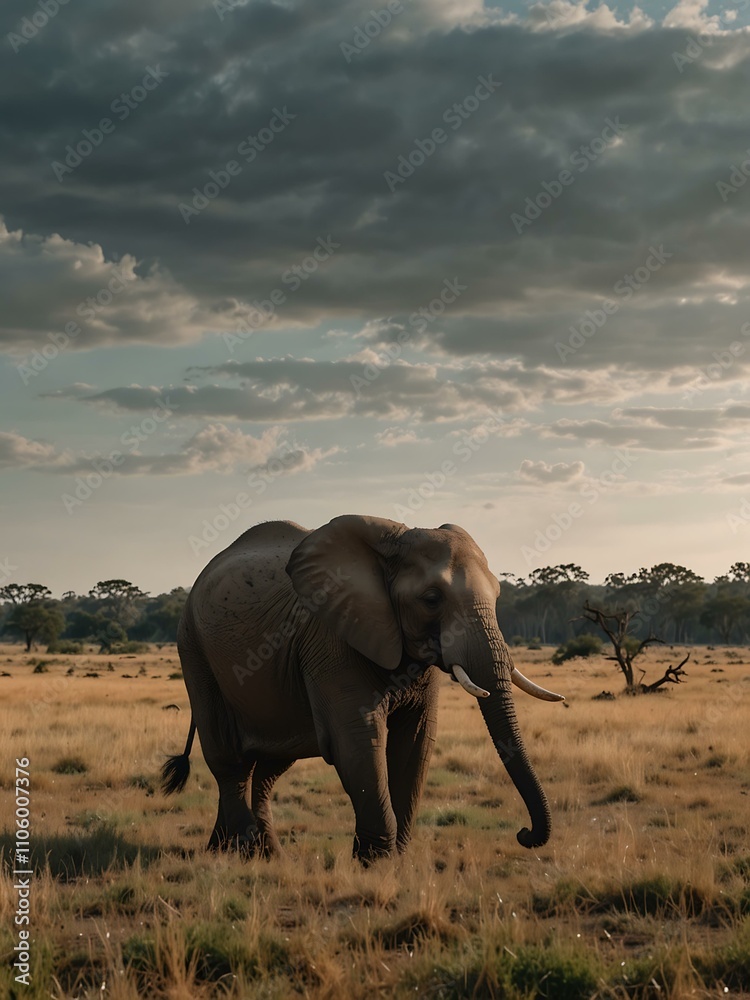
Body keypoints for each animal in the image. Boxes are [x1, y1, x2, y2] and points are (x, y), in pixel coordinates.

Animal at [162, 515, 564, 862]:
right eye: (432, 599)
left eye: (497, 595)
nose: (524, 834)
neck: (391, 544)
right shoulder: (331, 638)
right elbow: (357, 738)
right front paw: (375, 864)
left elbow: (416, 739)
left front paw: (397, 860)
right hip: (193, 647)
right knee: (227, 757)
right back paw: (243, 853)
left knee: (267, 765)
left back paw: (257, 853)